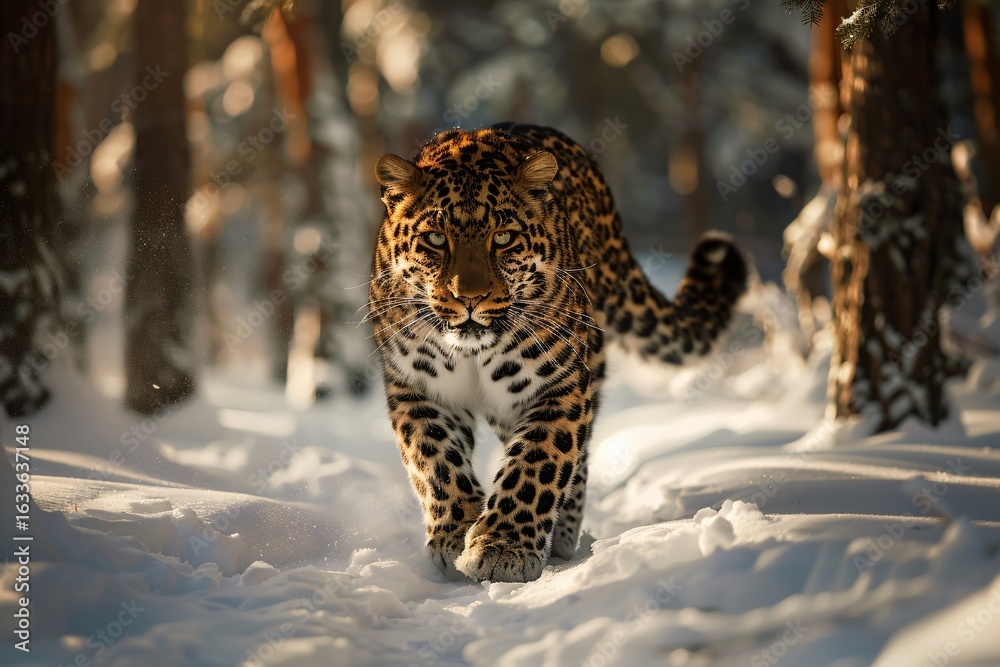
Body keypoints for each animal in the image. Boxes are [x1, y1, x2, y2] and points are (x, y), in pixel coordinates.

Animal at [368, 122, 749, 583]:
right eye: (436, 239)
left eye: (503, 238)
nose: (469, 298)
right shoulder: (417, 389)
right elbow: (435, 461)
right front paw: (456, 533)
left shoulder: (557, 385)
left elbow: (537, 463)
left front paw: (502, 547)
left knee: (577, 460)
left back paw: (563, 534)